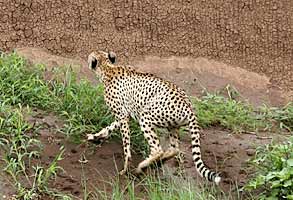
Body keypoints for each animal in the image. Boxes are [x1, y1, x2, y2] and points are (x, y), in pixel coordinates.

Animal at [85, 51, 220, 184]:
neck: (107, 67)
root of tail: (188, 106)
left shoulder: (122, 116)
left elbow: (126, 145)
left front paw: (125, 168)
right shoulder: (124, 116)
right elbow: (108, 128)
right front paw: (94, 137)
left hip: (146, 117)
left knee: (157, 149)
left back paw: (141, 167)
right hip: (172, 125)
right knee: (174, 149)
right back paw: (159, 161)